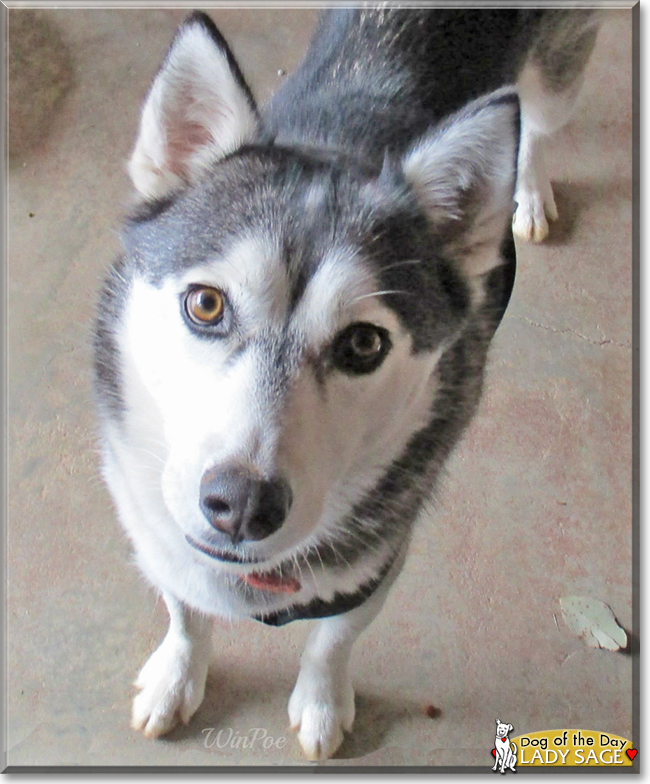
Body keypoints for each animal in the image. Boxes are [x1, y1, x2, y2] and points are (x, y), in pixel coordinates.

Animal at [93, 6, 600, 760]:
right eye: (206, 305)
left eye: (364, 344)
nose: (243, 504)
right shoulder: (159, 532)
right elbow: (184, 610)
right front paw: (176, 675)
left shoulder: (378, 561)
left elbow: (332, 640)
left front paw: (322, 702)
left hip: (562, 69)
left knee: (539, 123)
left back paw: (529, 193)